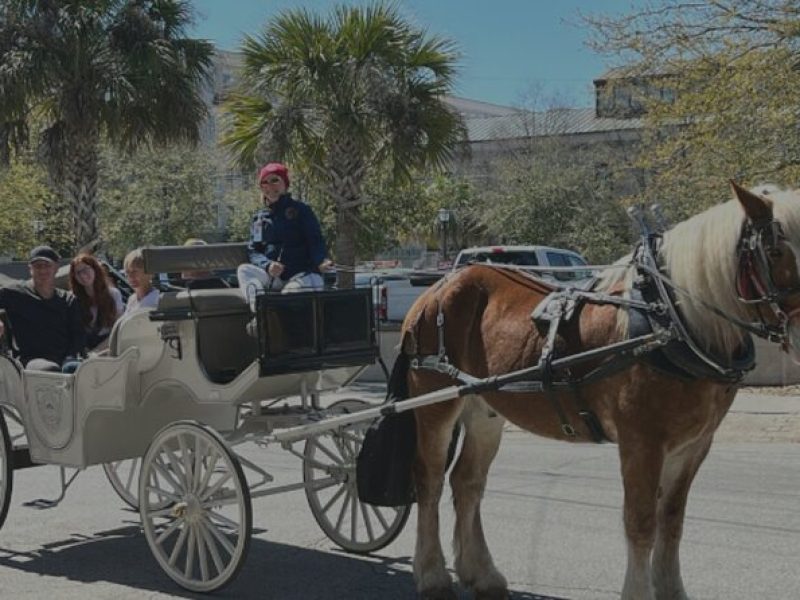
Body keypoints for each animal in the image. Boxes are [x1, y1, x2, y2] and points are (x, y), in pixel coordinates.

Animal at [404, 184, 800, 600]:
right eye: (775, 251)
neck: (669, 320)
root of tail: (439, 287)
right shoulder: (641, 442)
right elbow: (641, 523)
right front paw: (639, 591)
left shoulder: (694, 445)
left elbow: (672, 520)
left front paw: (670, 588)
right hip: (435, 406)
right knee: (429, 480)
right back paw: (432, 574)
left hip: (484, 411)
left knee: (467, 482)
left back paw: (481, 573)